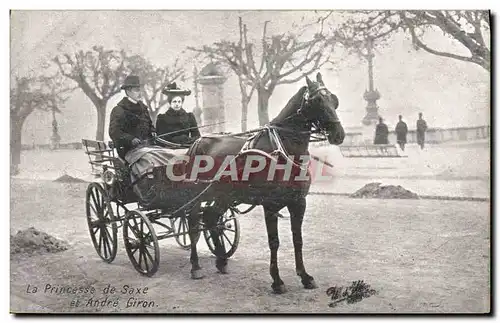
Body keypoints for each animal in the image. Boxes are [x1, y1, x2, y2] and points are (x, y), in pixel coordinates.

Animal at [186, 72, 346, 294]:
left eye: (333, 99)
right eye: (317, 101)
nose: (339, 134)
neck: (282, 149)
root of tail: (199, 141)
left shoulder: (298, 202)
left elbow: (298, 239)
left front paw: (305, 276)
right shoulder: (271, 205)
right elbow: (274, 242)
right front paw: (277, 281)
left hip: (223, 195)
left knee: (211, 218)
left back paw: (221, 260)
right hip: (198, 195)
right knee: (193, 224)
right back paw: (195, 266)